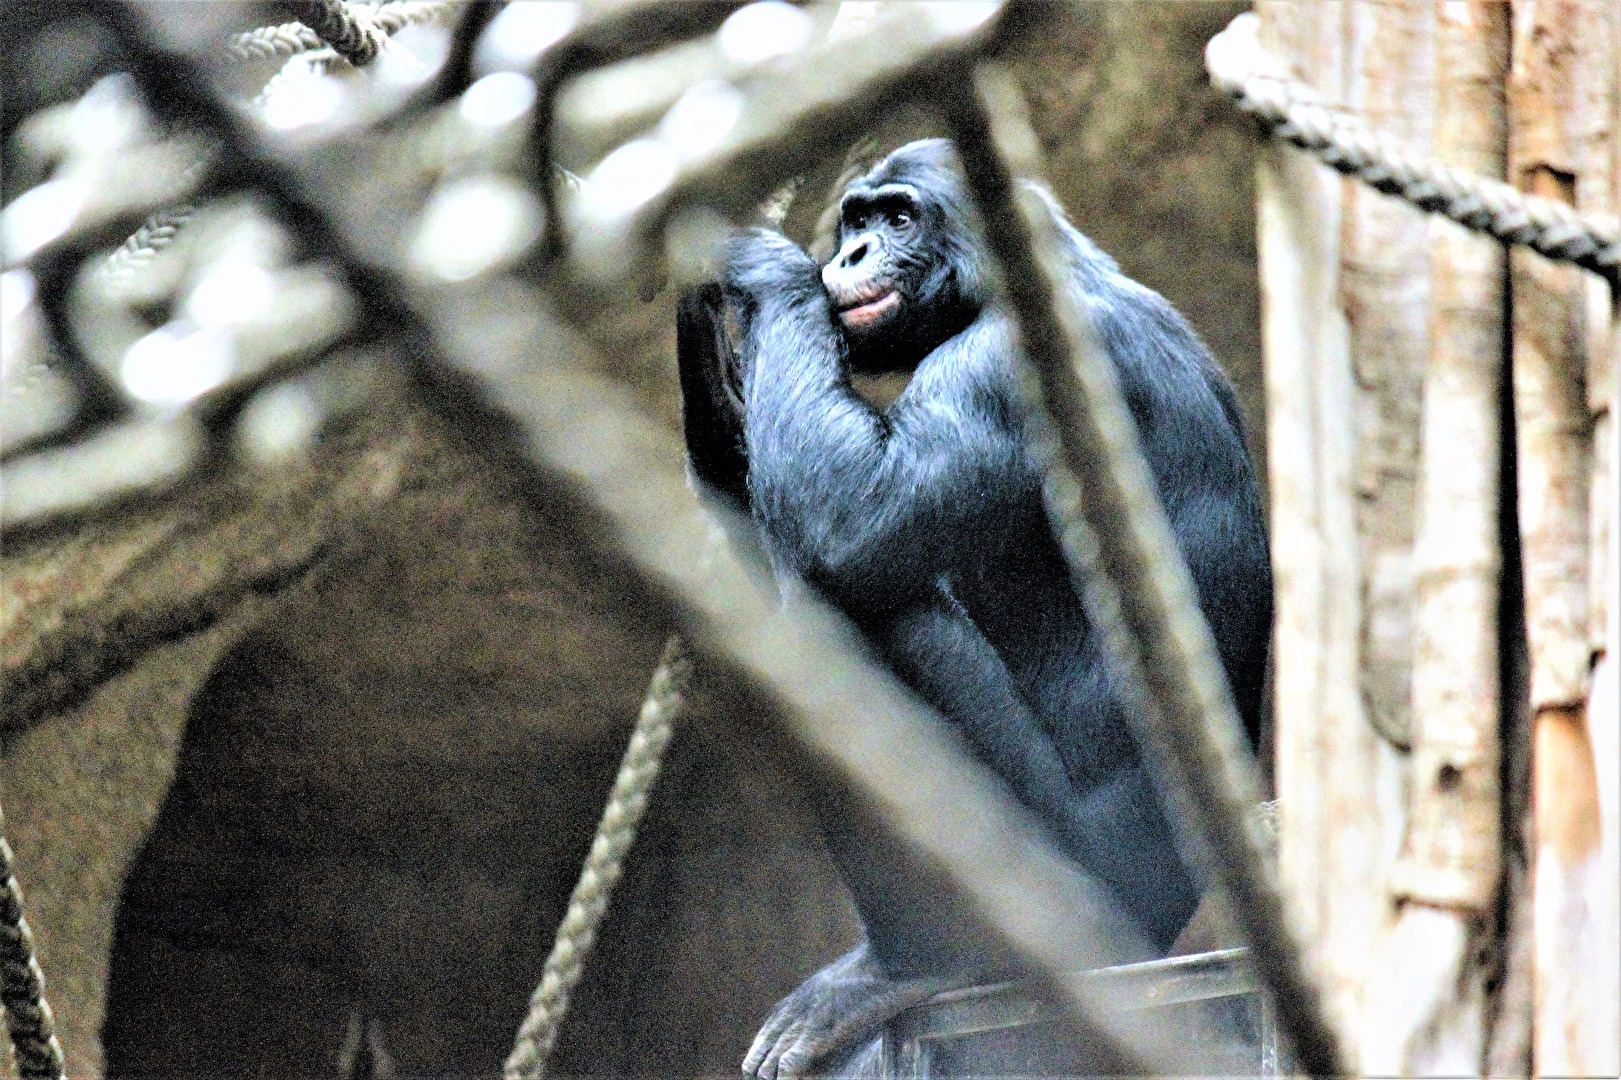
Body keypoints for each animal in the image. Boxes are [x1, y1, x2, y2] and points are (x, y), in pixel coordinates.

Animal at [677, 138, 1270, 1070]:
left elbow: (857, 517)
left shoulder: (1003, 369)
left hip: (1063, 894)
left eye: (899, 218)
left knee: (858, 605)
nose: (849, 253)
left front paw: (762, 270)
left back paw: (918, 964)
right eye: (857, 217)